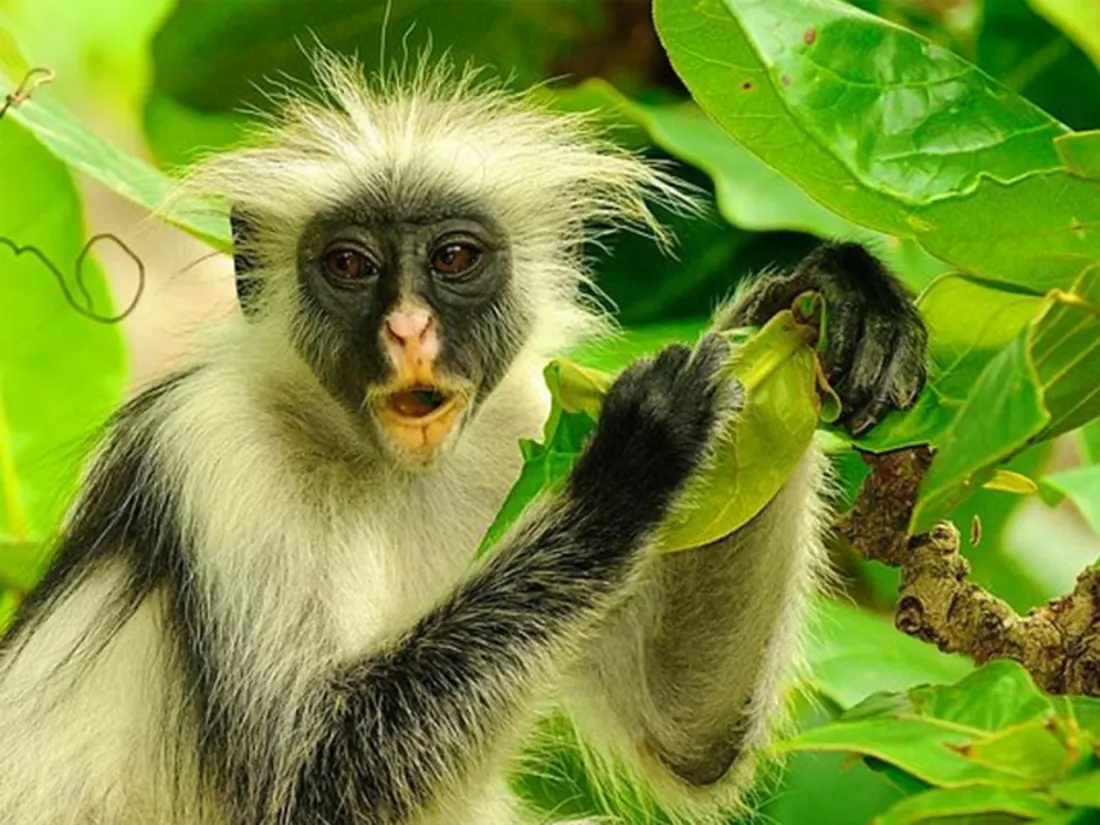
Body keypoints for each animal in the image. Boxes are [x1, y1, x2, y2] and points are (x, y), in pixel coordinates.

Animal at [0, 54, 927, 825]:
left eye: (452, 257)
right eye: (350, 265)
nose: (409, 329)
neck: (390, 470)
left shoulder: (520, 424)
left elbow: (693, 730)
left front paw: (807, 303)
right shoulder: (212, 444)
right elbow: (310, 779)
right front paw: (628, 469)